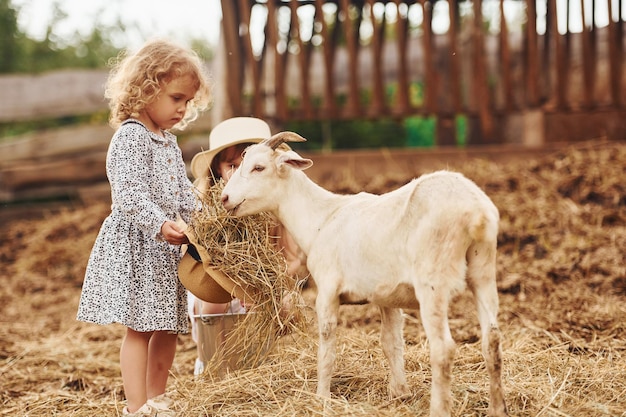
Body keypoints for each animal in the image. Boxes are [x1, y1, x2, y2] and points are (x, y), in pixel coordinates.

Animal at [219, 131, 508, 416]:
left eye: (259, 167)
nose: (224, 199)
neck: (322, 219)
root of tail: (477, 213)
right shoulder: (387, 297)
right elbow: (391, 343)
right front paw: (399, 393)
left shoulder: (327, 291)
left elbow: (327, 347)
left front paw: (321, 398)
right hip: (483, 271)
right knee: (492, 340)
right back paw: (497, 408)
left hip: (433, 281)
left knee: (443, 349)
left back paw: (439, 410)